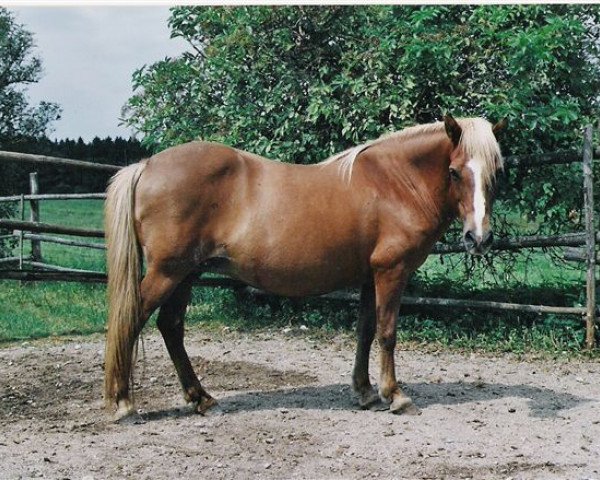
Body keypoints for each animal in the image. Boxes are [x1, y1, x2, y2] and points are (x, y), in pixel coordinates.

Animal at [104, 114, 506, 418]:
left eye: (495, 172)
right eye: (454, 172)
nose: (478, 238)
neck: (394, 183)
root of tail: (147, 165)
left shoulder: (368, 277)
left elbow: (364, 331)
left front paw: (365, 392)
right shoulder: (391, 273)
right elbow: (387, 333)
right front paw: (395, 395)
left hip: (186, 273)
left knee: (171, 326)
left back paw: (201, 399)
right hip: (166, 273)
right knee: (131, 319)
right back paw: (124, 402)